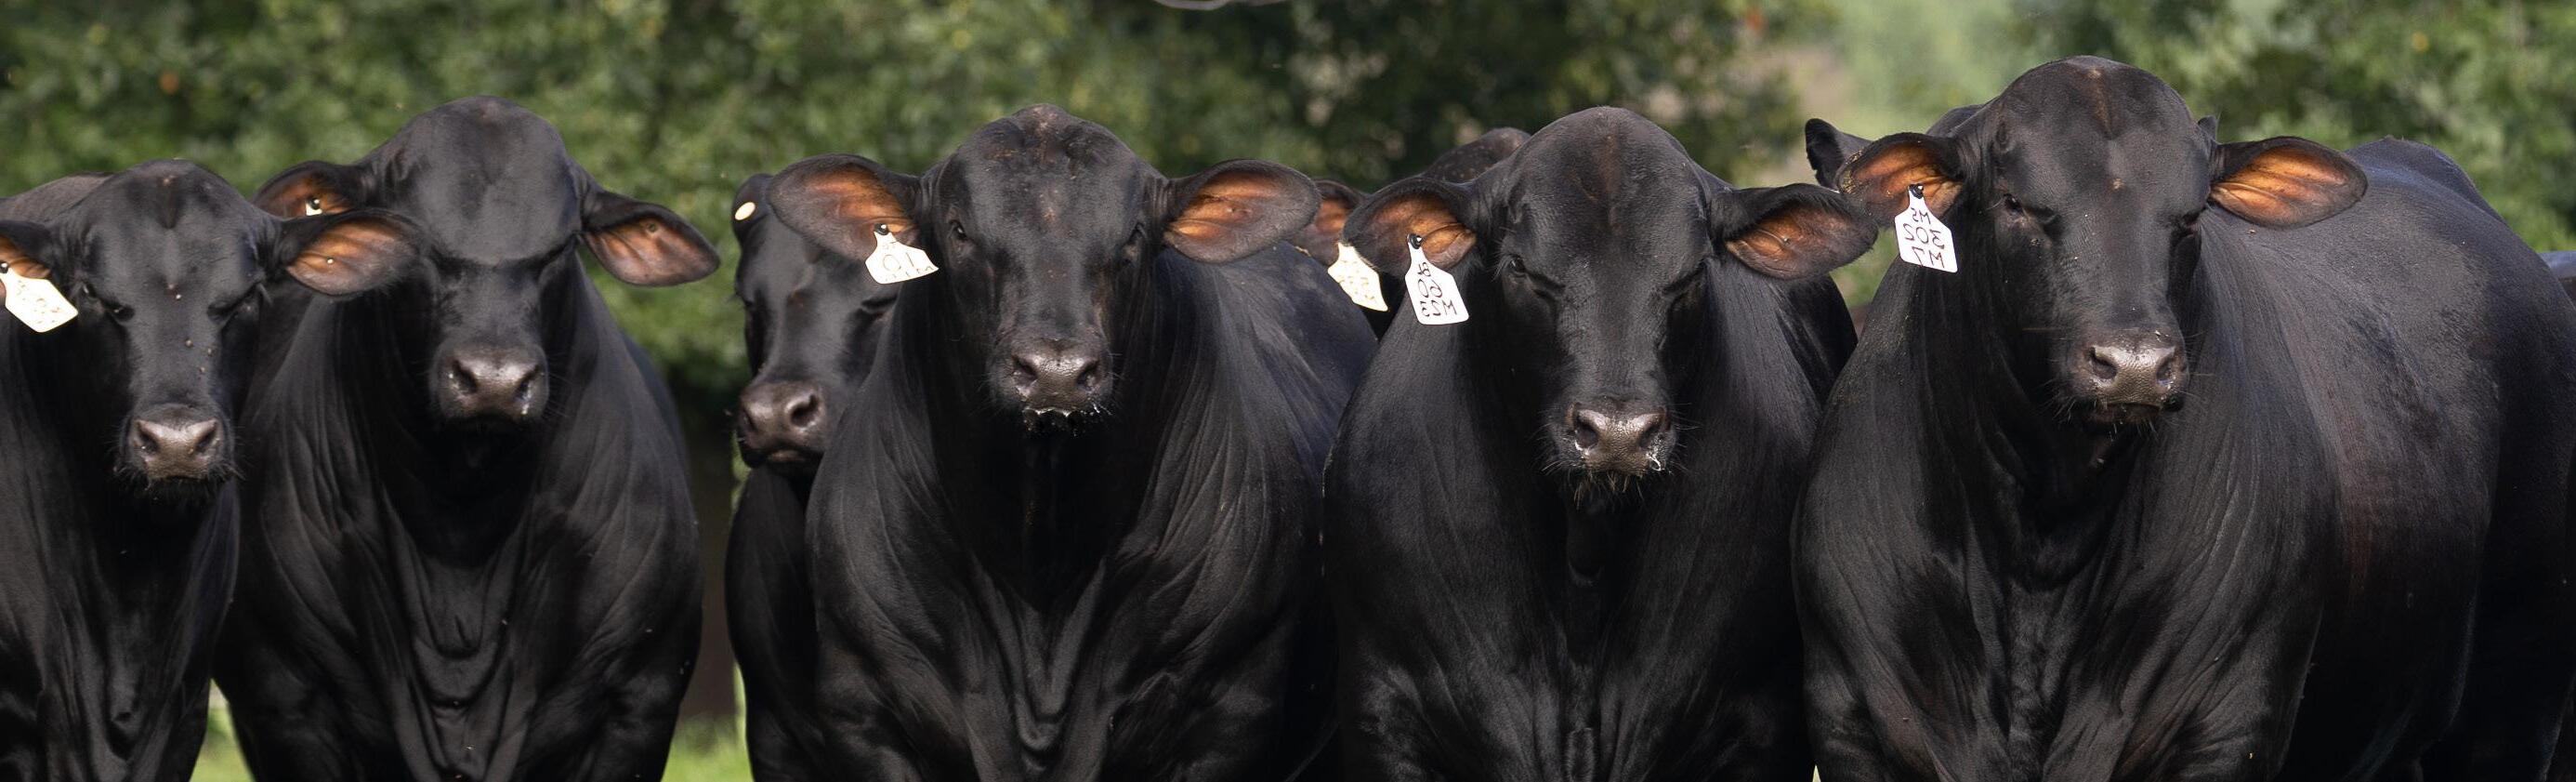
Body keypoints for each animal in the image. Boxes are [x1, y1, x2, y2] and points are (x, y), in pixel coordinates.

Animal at [1796, 56, 2576, 780]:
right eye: (2015, 202)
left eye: (2192, 214)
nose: (2136, 362)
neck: (2042, 542)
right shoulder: (1853, 724)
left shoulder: (2225, 728)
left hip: (2515, 702)